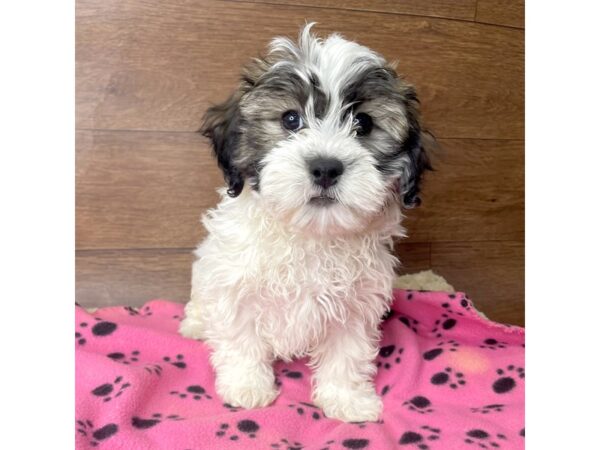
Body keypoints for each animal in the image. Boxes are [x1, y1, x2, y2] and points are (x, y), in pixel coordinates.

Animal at [179, 24, 432, 424]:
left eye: (363, 123)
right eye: (290, 119)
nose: (326, 167)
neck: (310, 233)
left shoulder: (355, 305)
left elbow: (347, 353)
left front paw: (347, 399)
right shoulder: (236, 286)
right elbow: (240, 338)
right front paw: (246, 386)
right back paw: (195, 324)